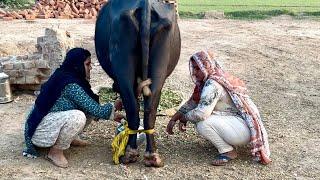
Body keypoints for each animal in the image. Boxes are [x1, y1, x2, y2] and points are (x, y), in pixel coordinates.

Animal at [94, 0, 180, 167]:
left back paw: (132, 153)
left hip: (125, 67)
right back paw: (150, 155)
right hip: (158, 68)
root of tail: (145, 5)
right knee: (148, 109)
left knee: (134, 108)